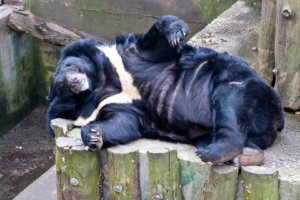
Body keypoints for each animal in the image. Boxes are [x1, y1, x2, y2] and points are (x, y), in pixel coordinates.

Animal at [46, 15, 284, 166]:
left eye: (70, 67)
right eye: (62, 87)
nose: (74, 82)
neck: (102, 83)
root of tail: (277, 122)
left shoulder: (128, 57)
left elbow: (157, 43)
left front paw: (176, 32)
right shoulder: (113, 106)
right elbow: (123, 123)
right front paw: (94, 136)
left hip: (243, 85)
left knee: (229, 106)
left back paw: (218, 152)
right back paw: (247, 155)